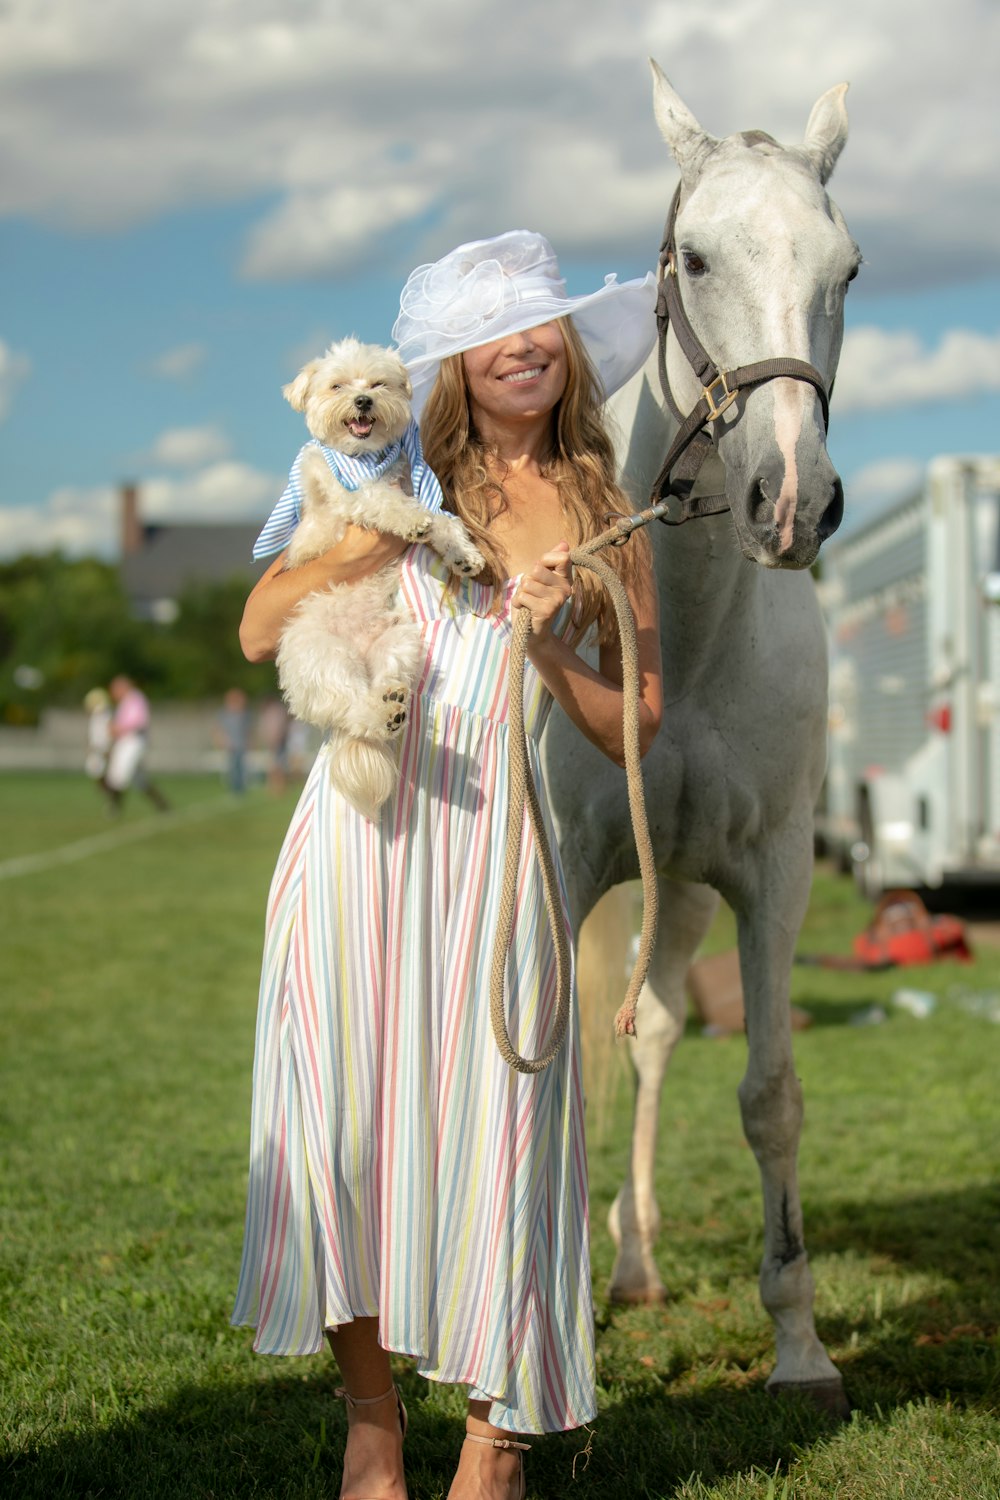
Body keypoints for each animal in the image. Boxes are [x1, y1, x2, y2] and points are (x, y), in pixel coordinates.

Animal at [274, 339, 485, 822]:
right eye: (337, 386)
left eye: (377, 384)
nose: (362, 401)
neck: (366, 458)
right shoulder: (350, 497)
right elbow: (385, 501)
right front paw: (412, 521)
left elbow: (443, 520)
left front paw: (462, 553)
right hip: (323, 656)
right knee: (354, 705)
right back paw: (380, 713)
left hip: (399, 643)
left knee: (383, 684)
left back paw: (391, 702)